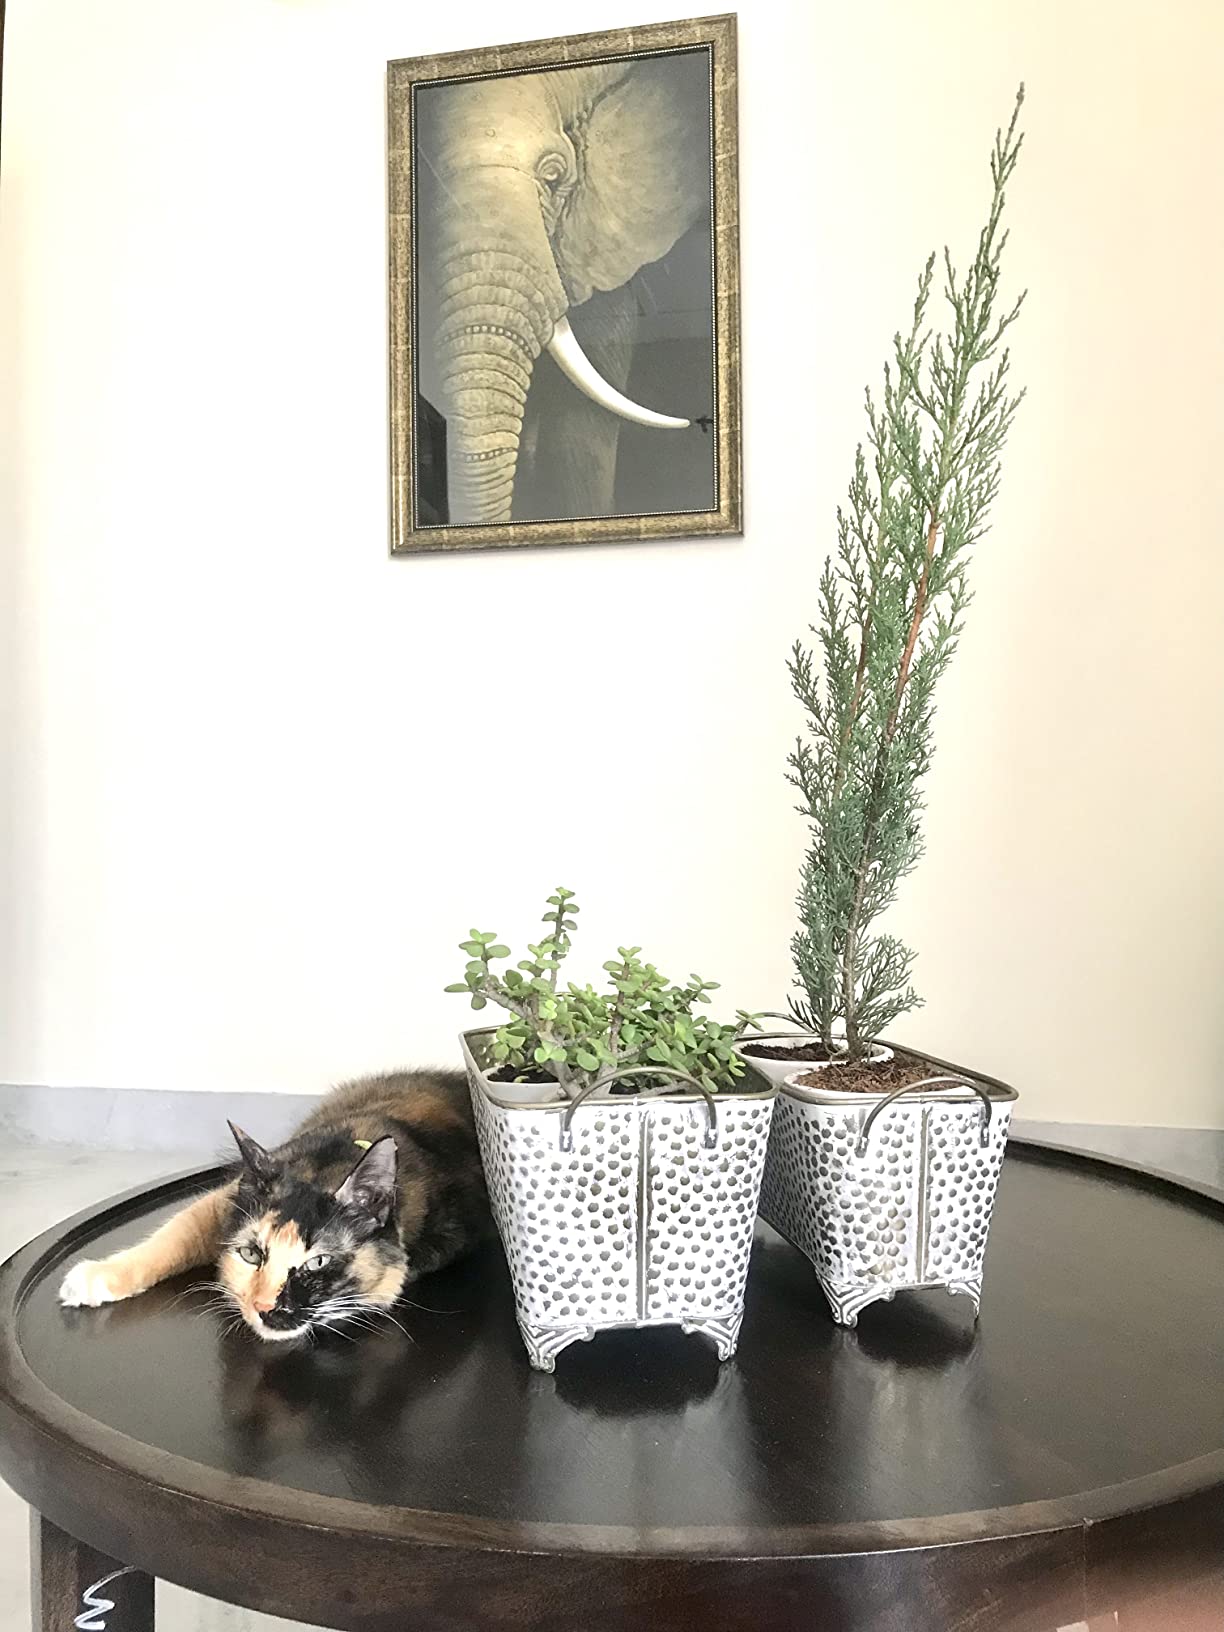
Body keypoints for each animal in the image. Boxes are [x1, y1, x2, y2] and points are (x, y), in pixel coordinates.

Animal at [58, 1069, 492, 1343]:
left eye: (318, 1262)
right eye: (251, 1253)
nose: (264, 1306)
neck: (328, 1164)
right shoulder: (222, 1202)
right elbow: (172, 1236)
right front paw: (95, 1276)